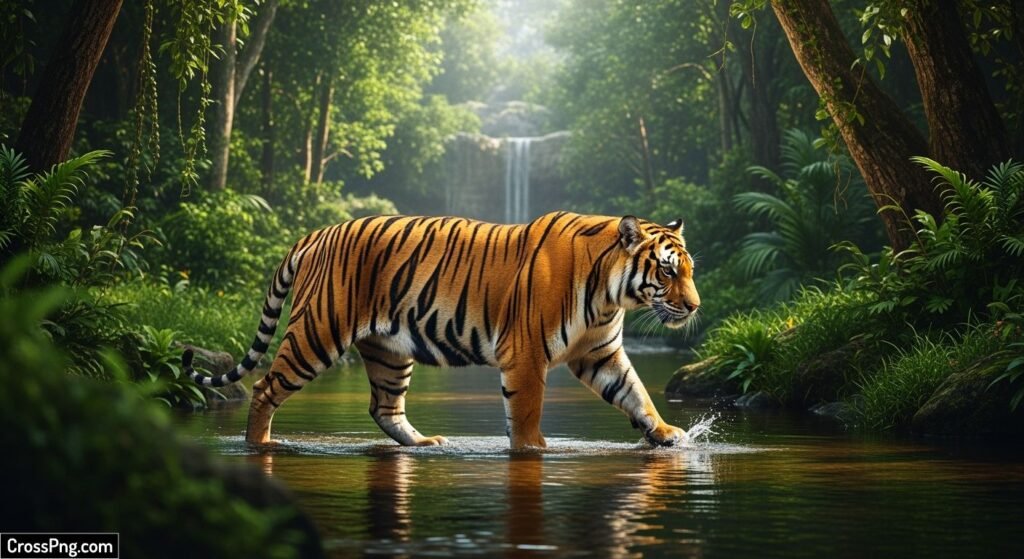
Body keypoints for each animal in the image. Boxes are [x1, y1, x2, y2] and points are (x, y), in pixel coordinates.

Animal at [182, 211, 701, 449]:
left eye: (690, 269)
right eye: (669, 271)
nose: (695, 306)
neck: (610, 295)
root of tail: (317, 233)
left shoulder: (600, 353)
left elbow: (636, 393)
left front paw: (667, 432)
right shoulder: (526, 355)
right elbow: (527, 412)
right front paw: (535, 450)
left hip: (389, 351)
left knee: (384, 407)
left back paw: (423, 444)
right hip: (317, 332)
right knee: (265, 386)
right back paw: (259, 445)